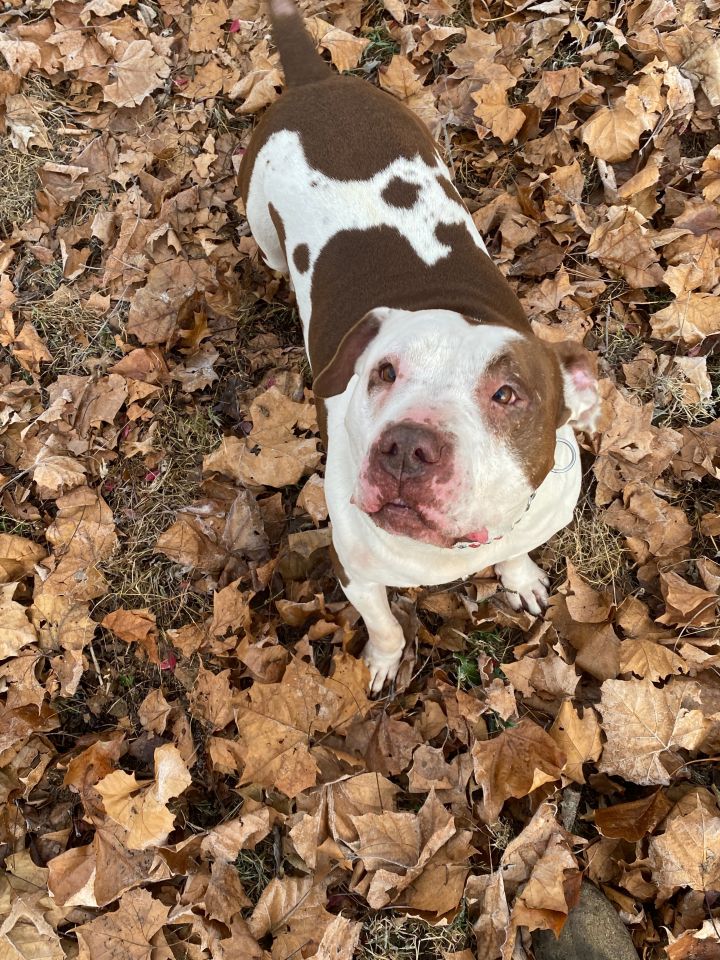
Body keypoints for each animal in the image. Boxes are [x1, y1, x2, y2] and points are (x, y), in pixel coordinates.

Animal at [239, 0, 600, 688]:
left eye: (508, 394)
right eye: (383, 373)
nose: (407, 448)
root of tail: (317, 83)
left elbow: (518, 552)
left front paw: (519, 578)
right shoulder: (355, 574)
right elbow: (382, 623)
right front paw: (383, 662)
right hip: (260, 221)